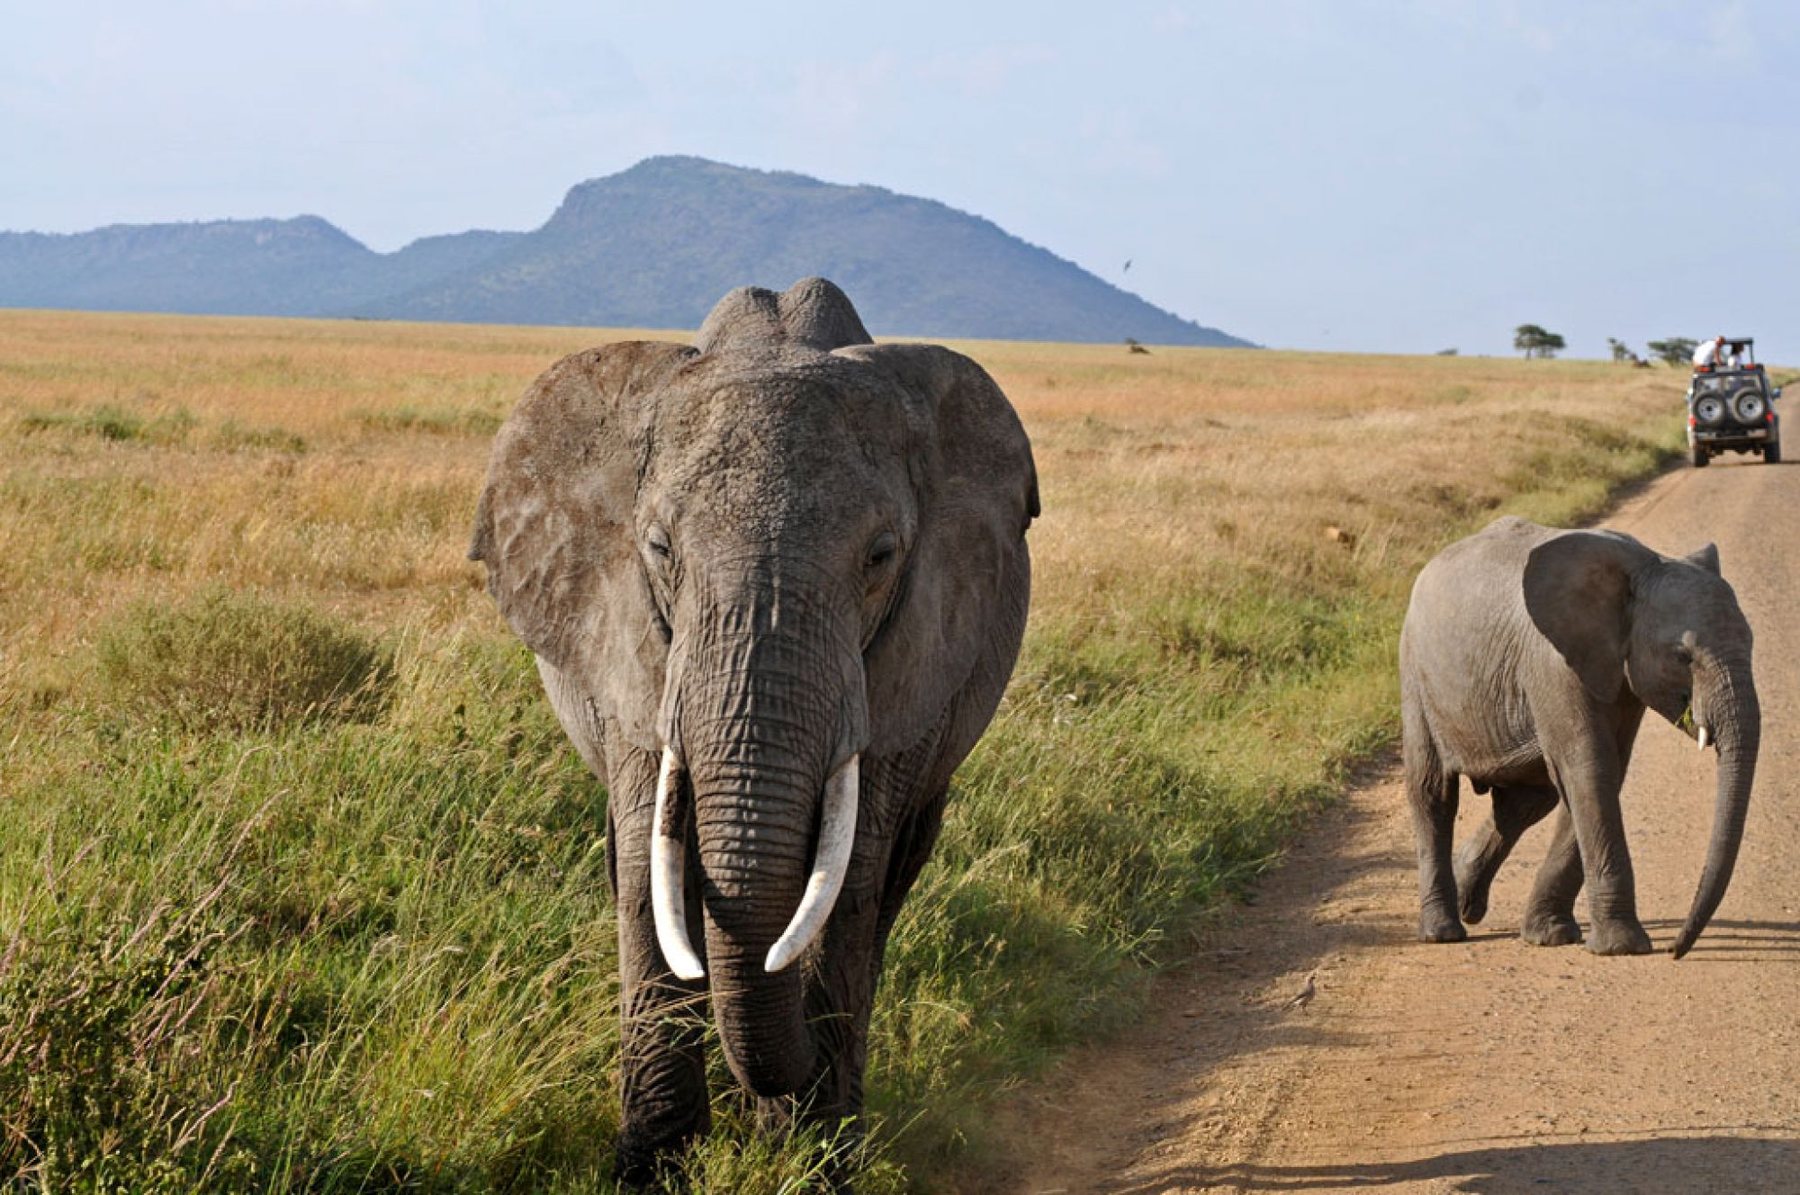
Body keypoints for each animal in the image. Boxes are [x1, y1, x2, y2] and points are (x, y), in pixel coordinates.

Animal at [469, 278, 1037, 1183]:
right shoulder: (631, 646)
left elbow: (847, 879)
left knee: (890, 881)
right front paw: (653, 1168)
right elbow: (648, 865)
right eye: (659, 547)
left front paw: (814, 1159)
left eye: (882, 556)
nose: (784, 1103)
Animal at [1399, 516, 1759, 958]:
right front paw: (1622, 947)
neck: (1643, 566)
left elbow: (1599, 773)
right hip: (1415, 672)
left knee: (1525, 801)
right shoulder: (1554, 664)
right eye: (1682, 656)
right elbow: (1590, 769)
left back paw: (1468, 896)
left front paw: (1549, 936)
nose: (1676, 950)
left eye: (1752, 644)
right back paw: (1442, 931)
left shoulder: (1619, 673)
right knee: (1433, 792)